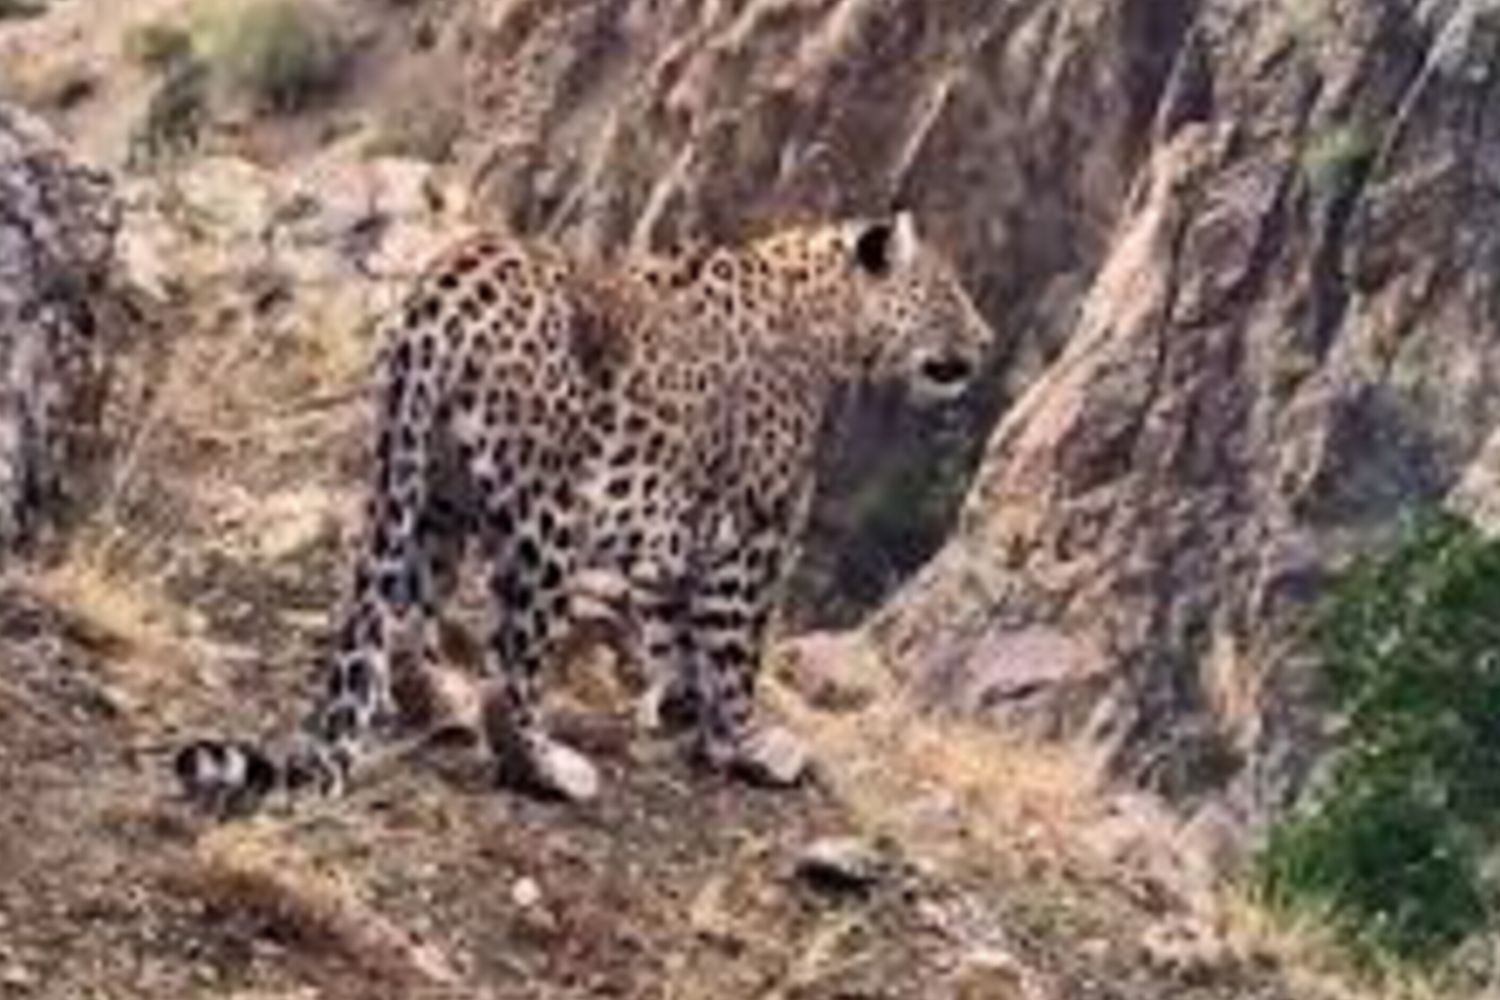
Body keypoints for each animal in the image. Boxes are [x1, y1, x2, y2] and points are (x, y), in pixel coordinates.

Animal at [175, 211, 993, 814]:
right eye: (948, 294)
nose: (985, 343)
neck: (830, 318)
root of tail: (443, 289)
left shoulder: (682, 528)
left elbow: (674, 635)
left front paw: (683, 720)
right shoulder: (754, 534)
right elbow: (735, 651)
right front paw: (746, 745)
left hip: (425, 494)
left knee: (399, 624)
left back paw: (437, 705)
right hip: (546, 520)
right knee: (511, 673)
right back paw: (547, 767)